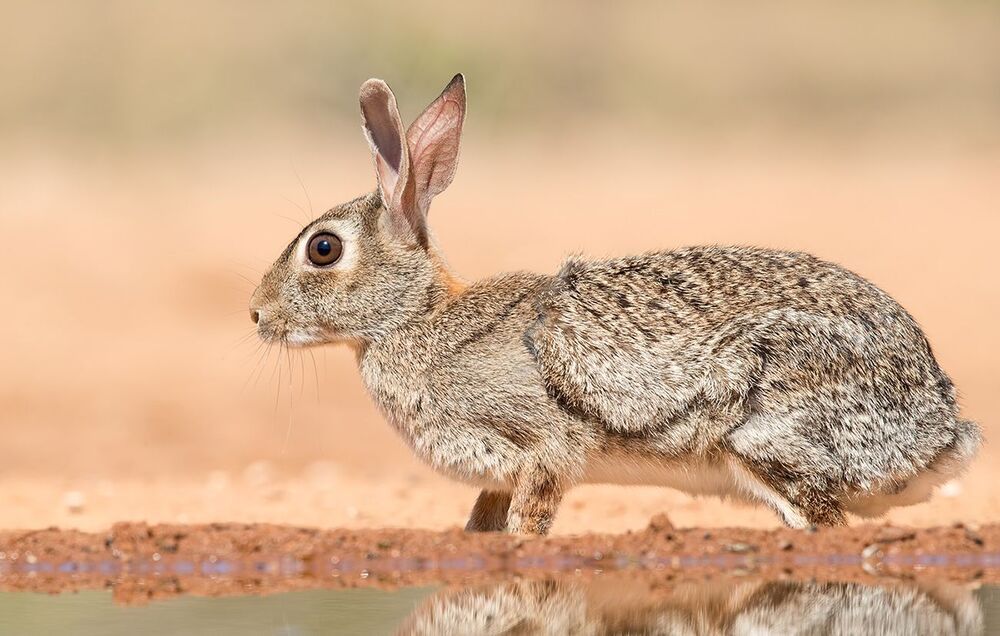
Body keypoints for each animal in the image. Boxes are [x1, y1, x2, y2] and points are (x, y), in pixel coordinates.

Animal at [250, 73, 981, 534]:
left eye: (322, 249)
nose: (256, 315)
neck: (415, 318)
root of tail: (939, 429)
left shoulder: (543, 446)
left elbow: (530, 520)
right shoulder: (498, 473)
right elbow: (481, 523)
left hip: (766, 430)